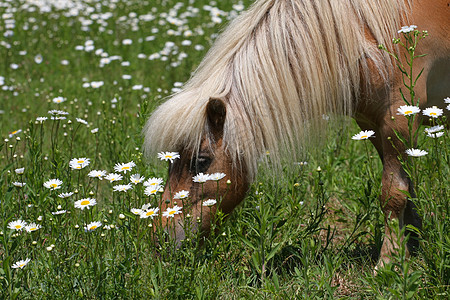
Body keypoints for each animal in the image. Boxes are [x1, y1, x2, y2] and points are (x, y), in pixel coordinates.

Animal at [143, 0, 450, 268]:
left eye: (201, 161)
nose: (160, 239)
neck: (366, 32)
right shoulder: (374, 128)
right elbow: (406, 188)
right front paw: (409, 247)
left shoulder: (398, 120)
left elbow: (393, 194)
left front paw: (388, 264)